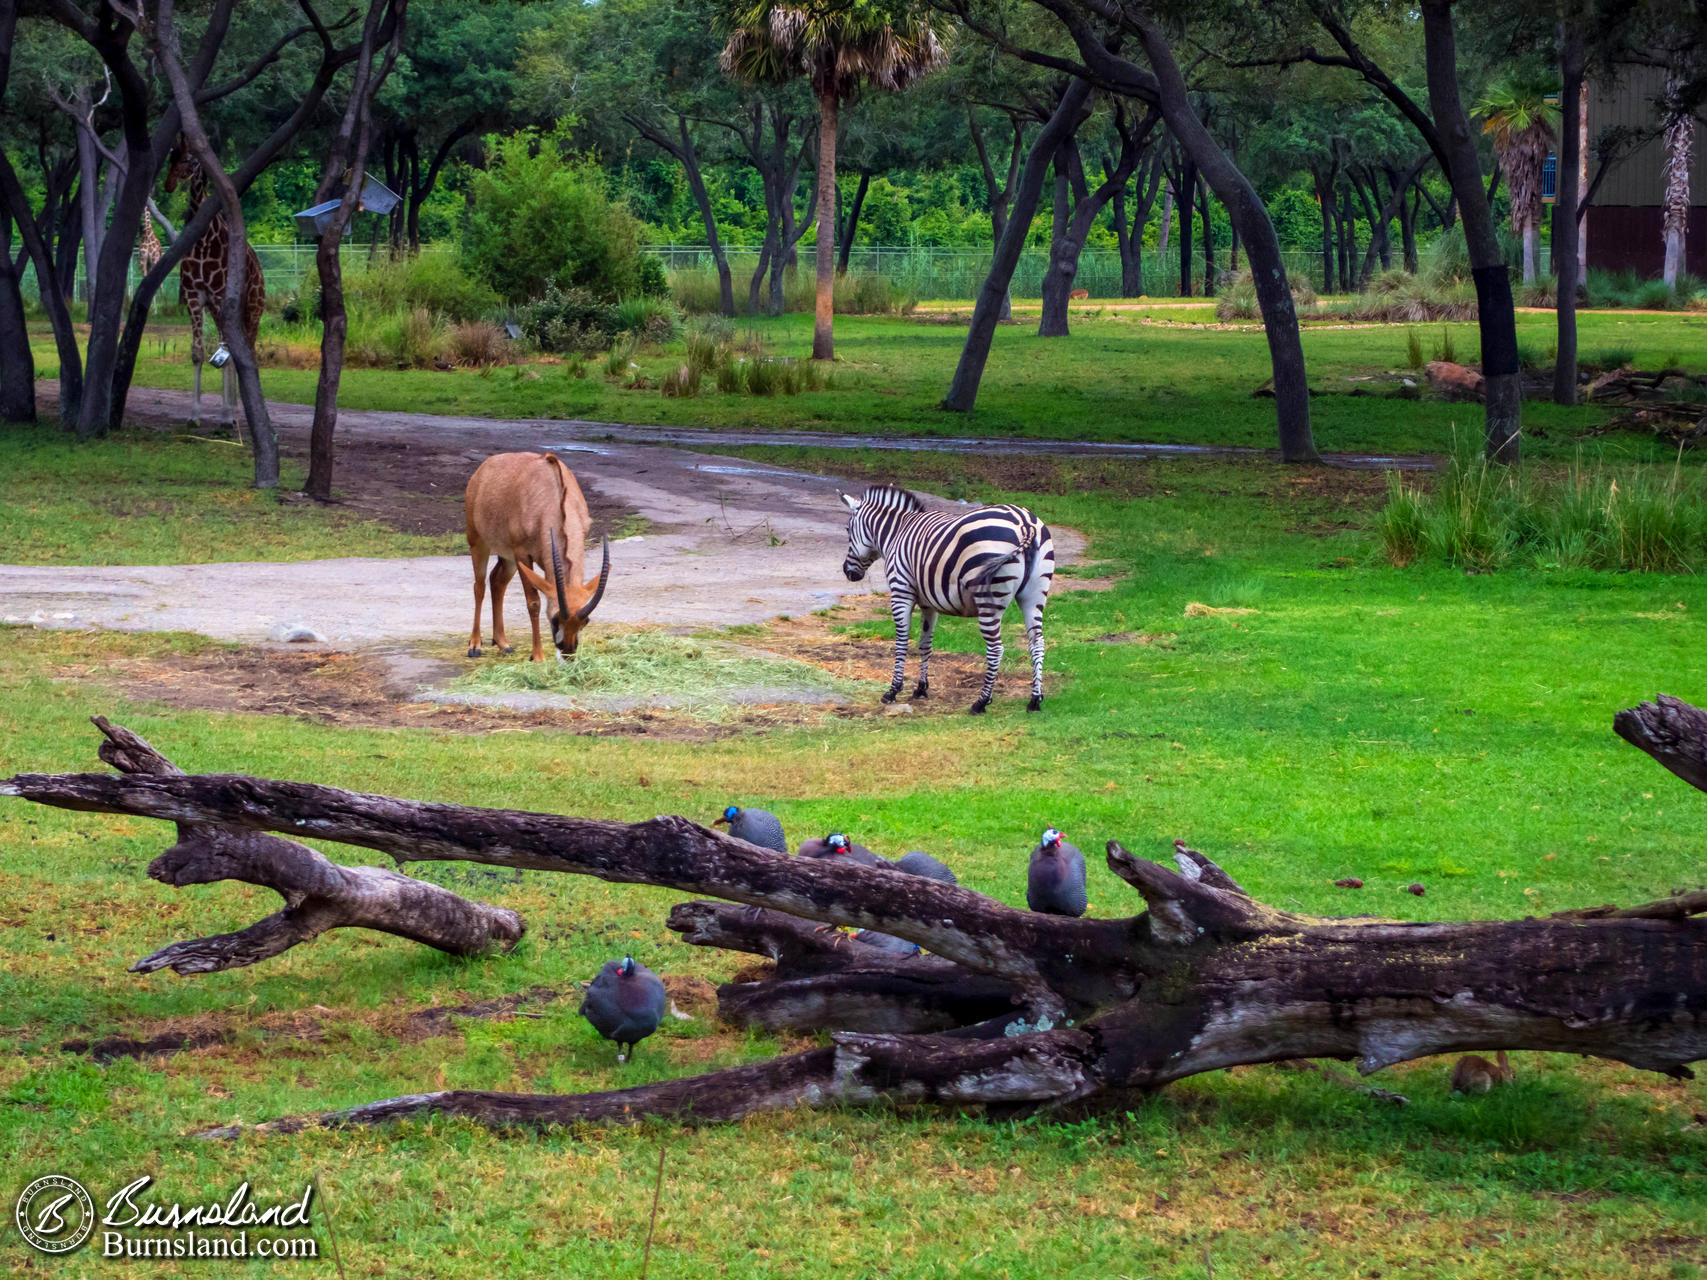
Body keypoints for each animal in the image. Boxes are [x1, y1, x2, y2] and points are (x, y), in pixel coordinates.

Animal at [163, 142, 262, 436]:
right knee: (238, 351)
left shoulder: (219, 298)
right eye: (170, 157)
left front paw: (225, 418)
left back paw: (237, 416)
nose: (168, 184)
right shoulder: (195, 297)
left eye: (189, 159)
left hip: (253, 307)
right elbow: (199, 352)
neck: (205, 241)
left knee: (249, 352)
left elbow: (227, 356)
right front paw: (194, 416)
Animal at [464, 453, 611, 662]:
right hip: (478, 542)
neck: (551, 499)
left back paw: (503, 643)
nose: (568, 653)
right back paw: (475, 645)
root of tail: (483, 468)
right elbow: (534, 603)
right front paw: (538, 656)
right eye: (556, 619)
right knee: (480, 586)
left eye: (586, 621)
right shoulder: (523, 555)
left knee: (497, 581)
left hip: (508, 557)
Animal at [839, 484, 1051, 716]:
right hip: (1034, 595)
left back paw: (981, 702)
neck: (897, 532)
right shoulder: (928, 603)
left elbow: (902, 642)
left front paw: (893, 690)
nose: (848, 573)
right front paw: (921, 688)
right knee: (1037, 642)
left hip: (988, 598)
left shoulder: (900, 590)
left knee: (996, 649)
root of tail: (1024, 522)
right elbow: (925, 643)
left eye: (847, 530)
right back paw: (1035, 700)